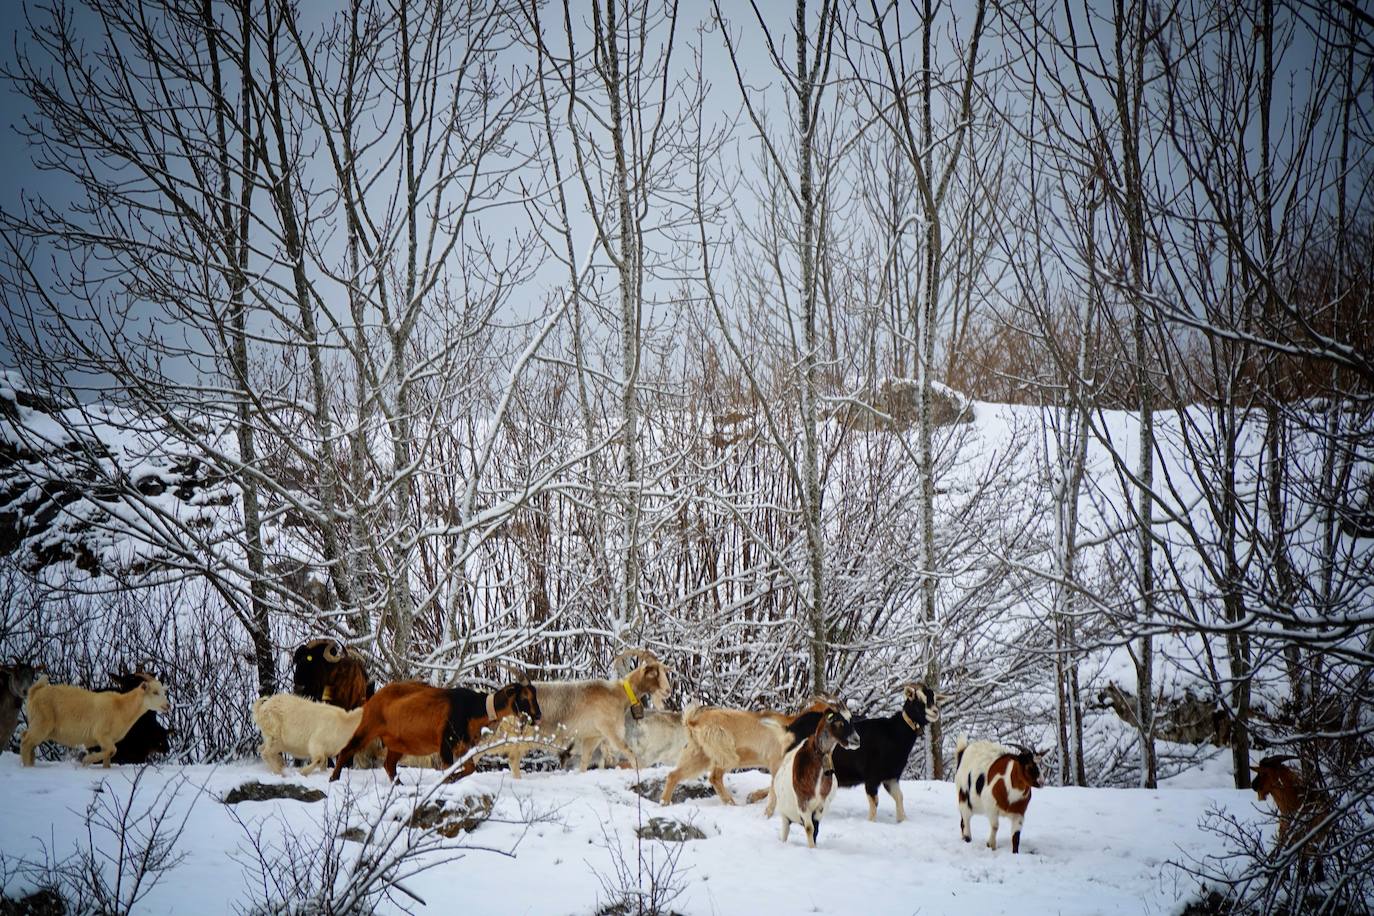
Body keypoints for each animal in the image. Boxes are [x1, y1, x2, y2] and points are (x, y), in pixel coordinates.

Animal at [19, 672, 170, 769]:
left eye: (163, 691)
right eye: (155, 692)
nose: (167, 706)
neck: (120, 706)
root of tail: (35, 691)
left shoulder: (107, 740)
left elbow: (109, 755)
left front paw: (103, 767)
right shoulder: (101, 734)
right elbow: (113, 750)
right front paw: (86, 761)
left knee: (27, 740)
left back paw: (30, 764)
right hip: (41, 724)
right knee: (26, 742)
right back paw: (27, 768)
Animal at [774, 708, 857, 851]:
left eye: (851, 719)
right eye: (839, 721)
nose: (857, 740)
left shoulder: (820, 806)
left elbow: (816, 830)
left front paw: (814, 847)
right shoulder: (803, 804)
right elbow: (809, 828)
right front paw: (812, 849)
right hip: (785, 815)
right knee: (785, 831)